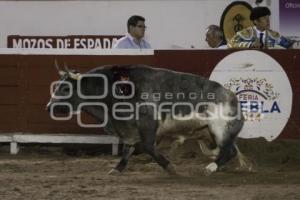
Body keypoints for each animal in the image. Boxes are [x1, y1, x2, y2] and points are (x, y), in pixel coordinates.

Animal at [47, 64, 248, 175]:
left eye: (65, 88)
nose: (48, 107)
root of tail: (231, 97)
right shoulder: (128, 129)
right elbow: (127, 150)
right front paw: (117, 169)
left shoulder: (148, 126)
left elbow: (148, 147)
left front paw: (170, 167)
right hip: (210, 133)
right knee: (228, 151)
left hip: (220, 130)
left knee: (228, 151)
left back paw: (210, 168)